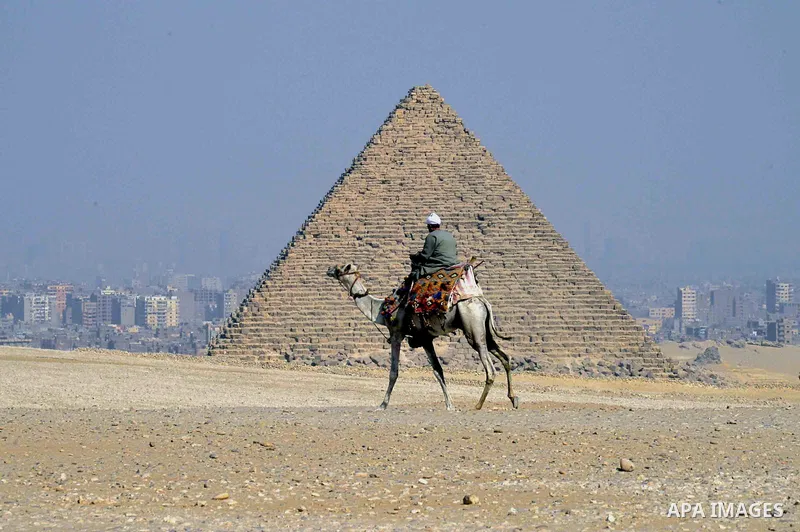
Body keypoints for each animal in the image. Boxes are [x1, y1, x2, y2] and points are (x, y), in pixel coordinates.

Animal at [327, 264, 519, 411]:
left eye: (340, 268)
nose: (328, 269)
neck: (380, 309)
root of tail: (483, 301)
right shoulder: (425, 339)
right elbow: (438, 370)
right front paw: (450, 405)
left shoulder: (396, 334)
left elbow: (393, 372)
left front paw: (382, 404)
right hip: (485, 330)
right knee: (505, 357)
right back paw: (513, 398)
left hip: (473, 329)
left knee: (490, 368)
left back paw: (478, 404)